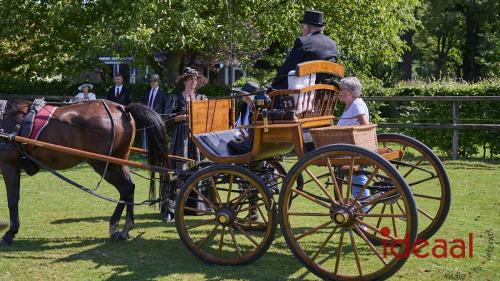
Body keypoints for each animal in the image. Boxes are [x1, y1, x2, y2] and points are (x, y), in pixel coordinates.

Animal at [0, 99, 168, 245]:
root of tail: (123, 108)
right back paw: (126, 228)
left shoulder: (8, 164)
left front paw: (10, 233)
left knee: (125, 188)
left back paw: (115, 226)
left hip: (103, 164)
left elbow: (12, 199)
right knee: (130, 188)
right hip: (118, 162)